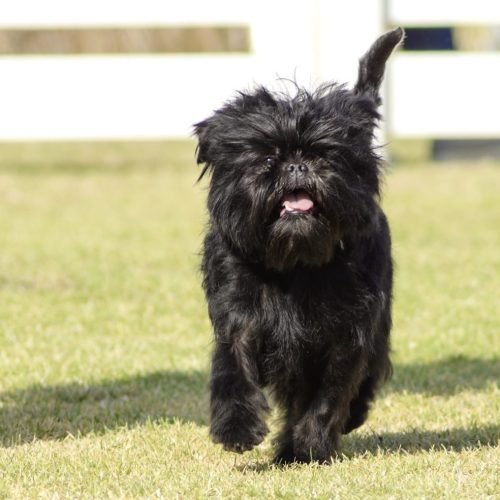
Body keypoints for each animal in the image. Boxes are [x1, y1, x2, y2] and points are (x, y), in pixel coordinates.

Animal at [193, 28, 404, 464]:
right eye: (266, 158)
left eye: (325, 155)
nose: (296, 164)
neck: (295, 264)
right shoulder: (238, 318)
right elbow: (231, 372)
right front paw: (236, 428)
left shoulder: (348, 333)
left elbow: (329, 395)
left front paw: (309, 445)